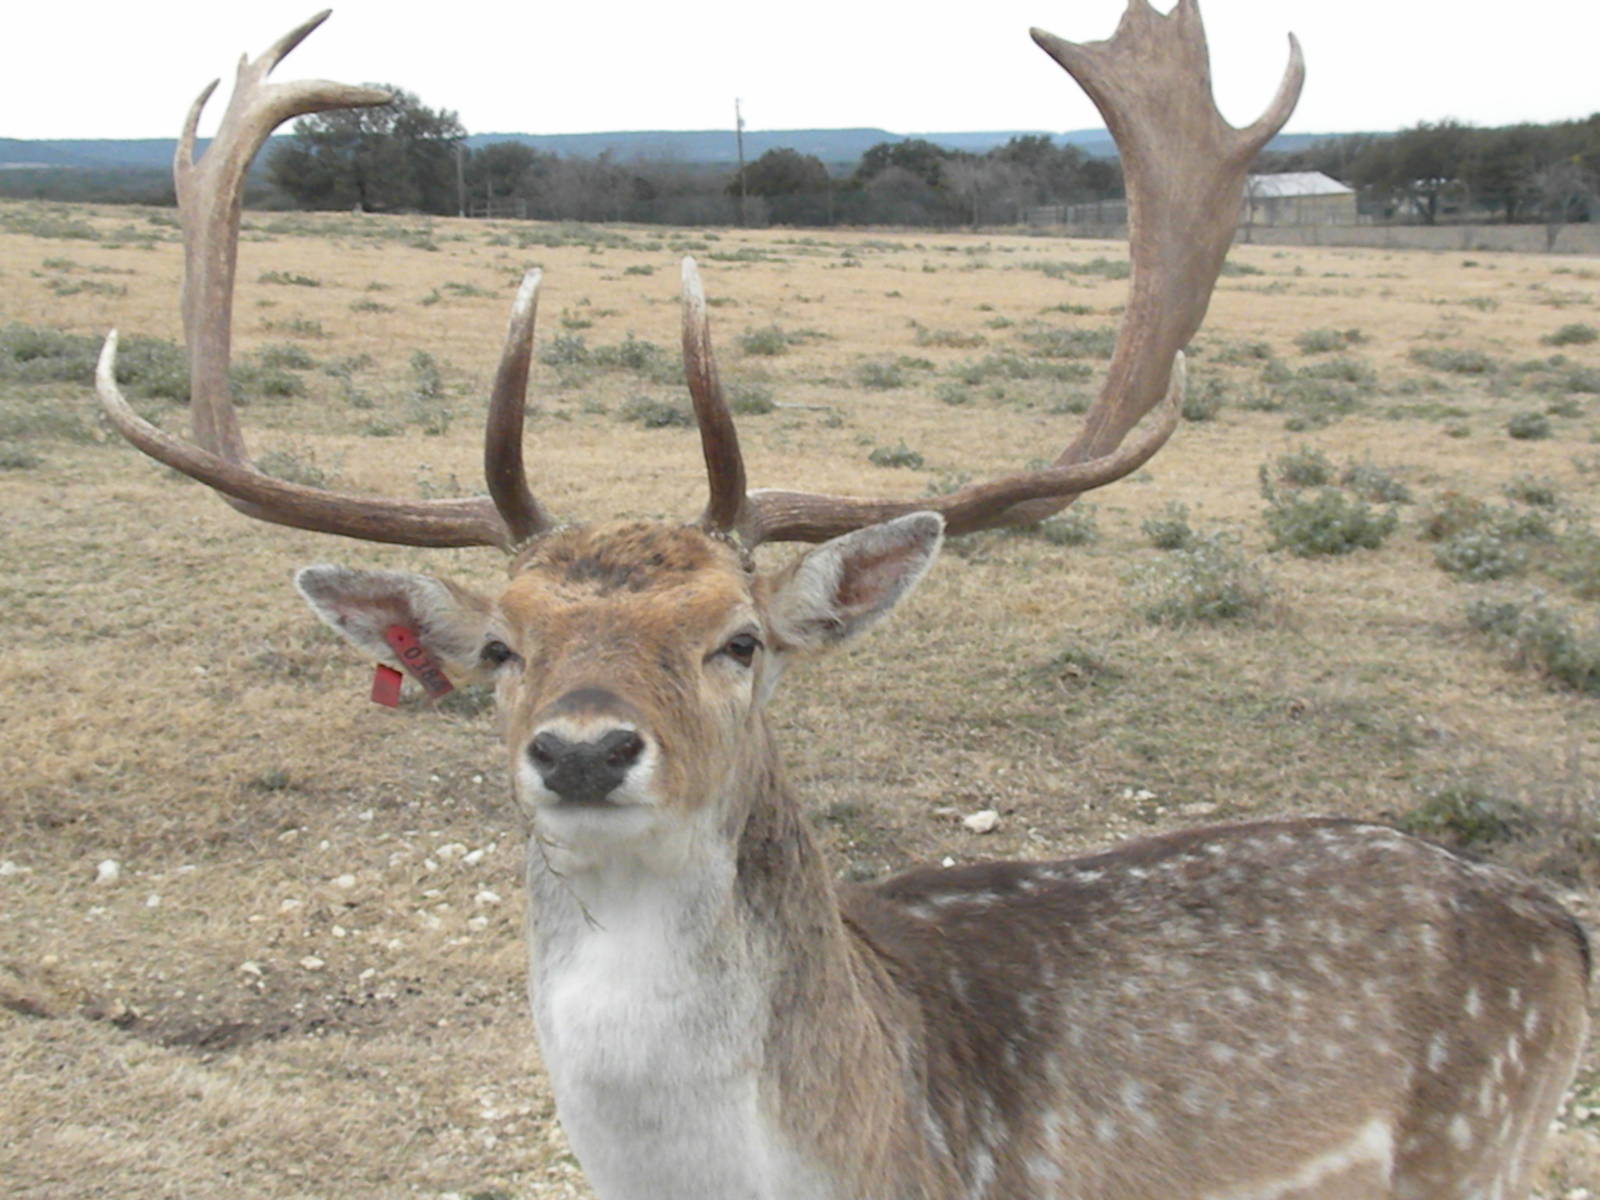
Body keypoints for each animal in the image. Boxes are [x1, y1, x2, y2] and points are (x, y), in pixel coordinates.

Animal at [93, 6, 1590, 1199]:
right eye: (506, 647)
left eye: (740, 640)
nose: (582, 750)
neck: (874, 1146)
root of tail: (1550, 916)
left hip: (1479, 1144)